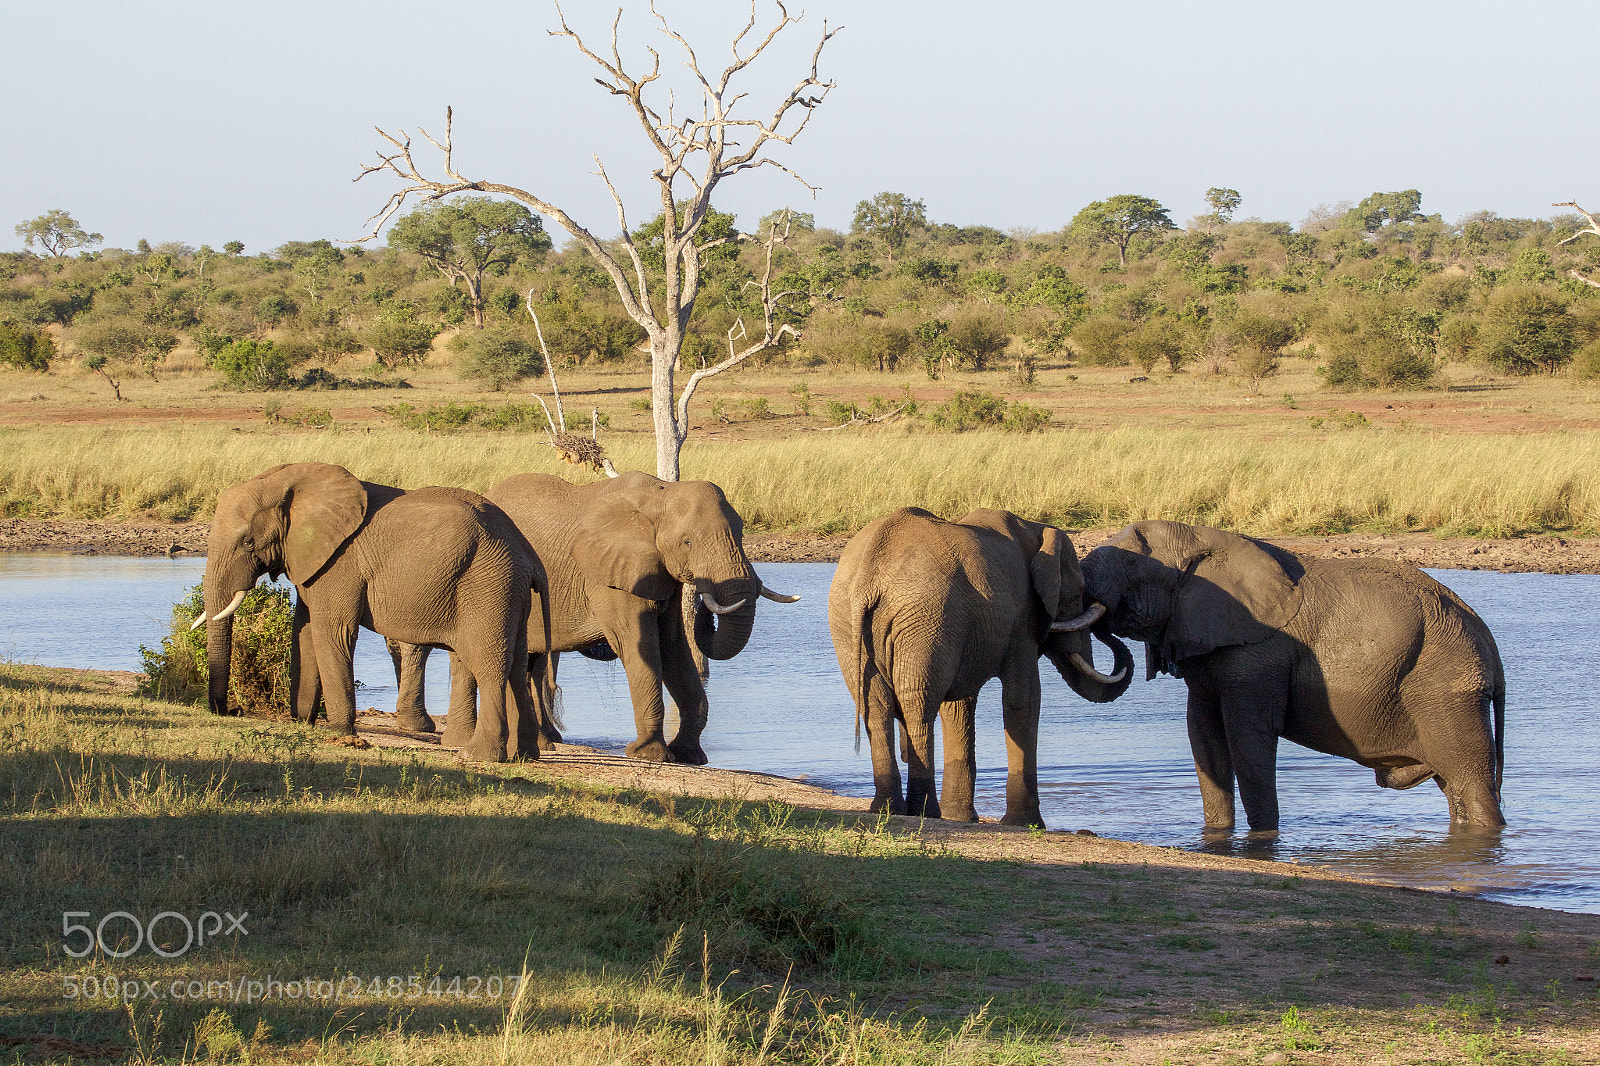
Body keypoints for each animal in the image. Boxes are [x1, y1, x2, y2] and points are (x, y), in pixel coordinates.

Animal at [194, 462, 550, 763]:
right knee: (517, 664)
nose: (230, 710)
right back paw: (524, 755)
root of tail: (529, 554)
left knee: (489, 664)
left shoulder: (340, 562)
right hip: (510, 591)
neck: (288, 481)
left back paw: (478, 756)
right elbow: (304, 632)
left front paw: (340, 734)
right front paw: (301, 723)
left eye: (248, 543)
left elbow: (333, 632)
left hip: (489, 585)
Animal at [405, 470, 799, 764]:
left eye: (742, 532)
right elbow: (641, 647)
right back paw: (461, 742)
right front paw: (649, 756)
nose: (705, 599)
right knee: (471, 657)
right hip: (472, 587)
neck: (660, 495)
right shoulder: (607, 574)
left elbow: (674, 648)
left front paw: (690, 757)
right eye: (687, 542)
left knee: (530, 665)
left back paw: (545, 744)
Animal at [828, 507, 1134, 827]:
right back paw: (924, 811)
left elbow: (959, 706)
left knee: (876, 707)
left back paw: (887, 809)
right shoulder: (1021, 618)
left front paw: (959, 817)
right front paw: (1025, 824)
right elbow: (1024, 698)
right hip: (924, 618)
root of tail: (868, 577)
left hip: (850, 622)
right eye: (1077, 592)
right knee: (918, 704)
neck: (1034, 529)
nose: (1110, 625)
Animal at [1078, 520, 1506, 832]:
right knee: (1455, 786)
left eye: (1132, 564)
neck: (1208, 538)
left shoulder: (1260, 654)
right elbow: (1203, 736)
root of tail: (1490, 646)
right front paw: (1218, 835)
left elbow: (1248, 737)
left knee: (1471, 783)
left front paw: (1264, 836)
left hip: (1446, 690)